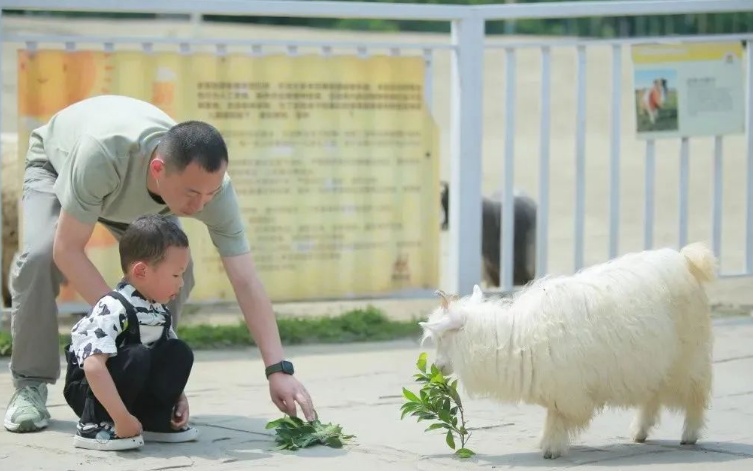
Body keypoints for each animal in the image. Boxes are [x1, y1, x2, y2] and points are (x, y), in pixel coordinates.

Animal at [420, 245, 712, 460]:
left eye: (442, 338)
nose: (438, 368)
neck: (514, 338)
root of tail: (686, 260)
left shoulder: (566, 390)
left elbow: (556, 419)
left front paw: (550, 449)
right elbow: (553, 417)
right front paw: (545, 443)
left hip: (689, 357)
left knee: (696, 395)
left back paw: (689, 434)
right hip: (652, 362)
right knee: (651, 397)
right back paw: (639, 432)